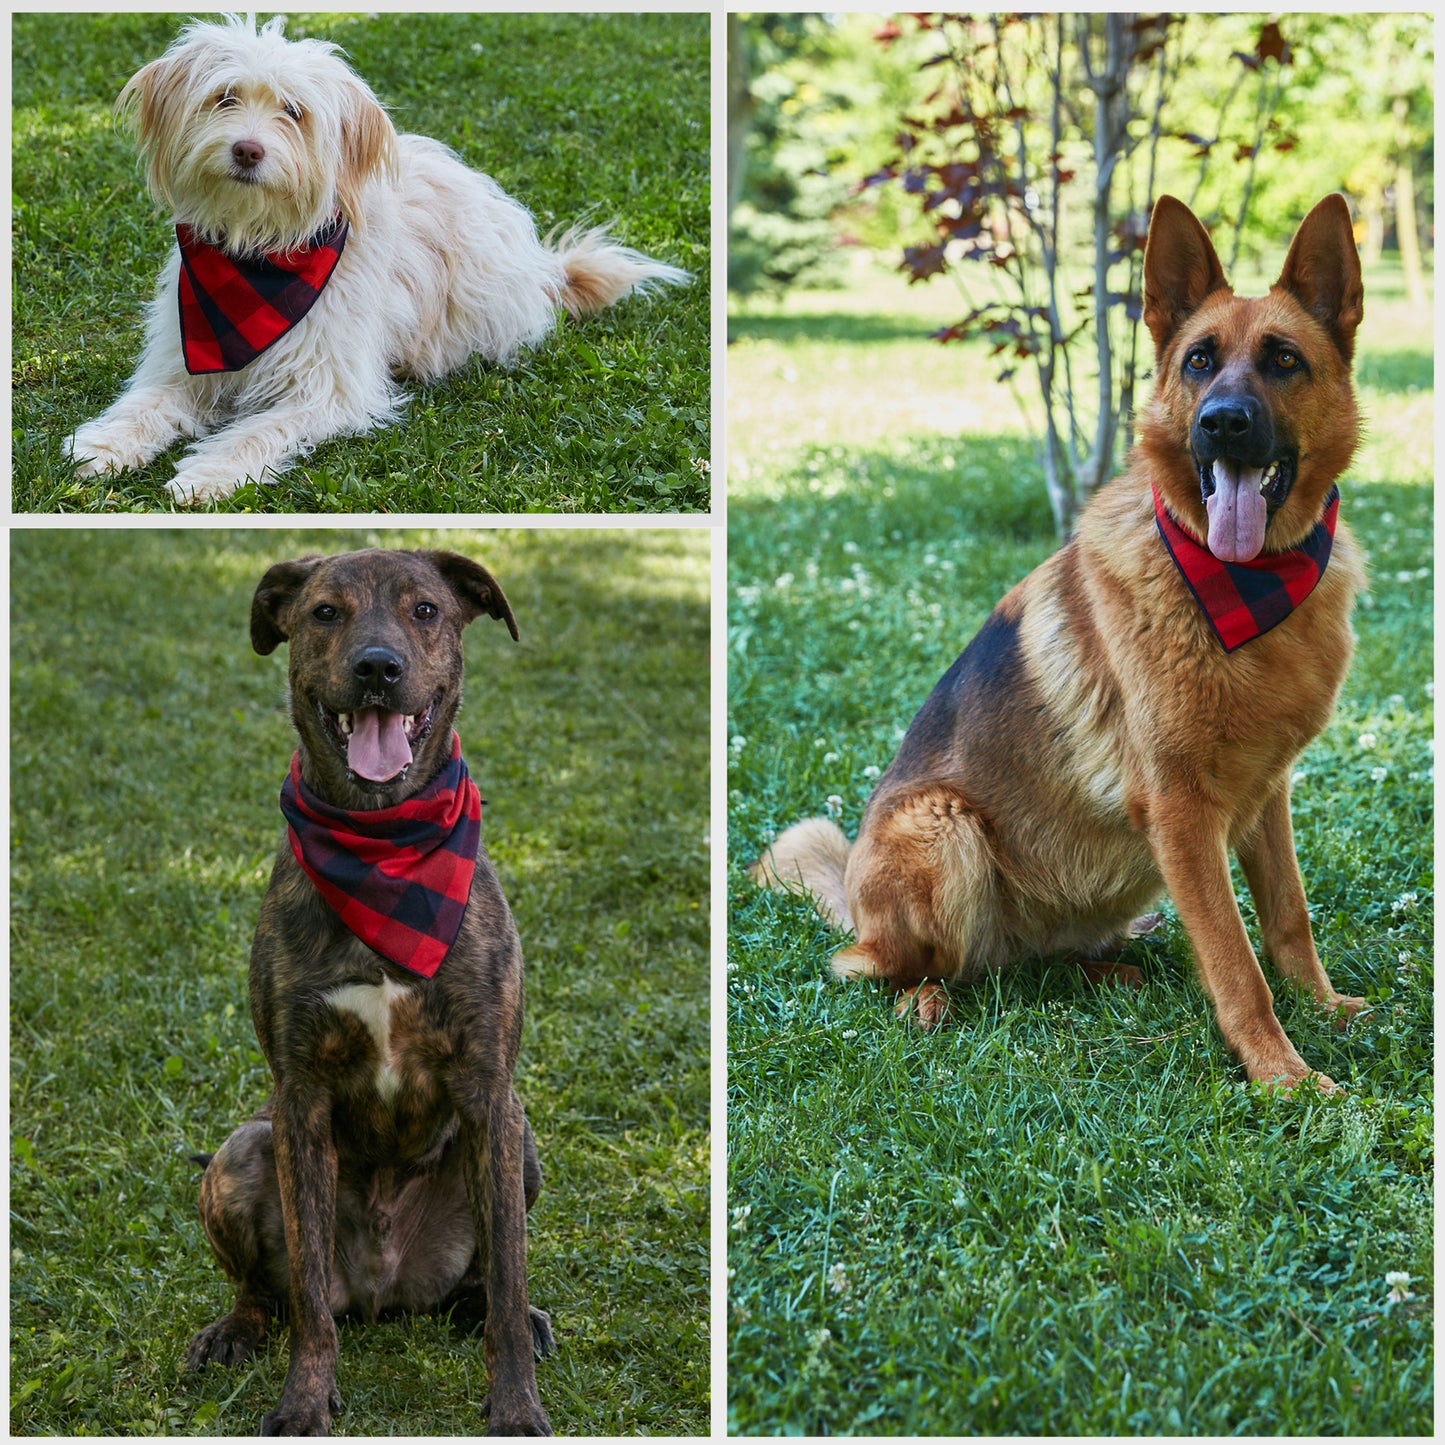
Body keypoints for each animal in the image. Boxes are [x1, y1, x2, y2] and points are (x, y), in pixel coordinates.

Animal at [70, 12, 690, 502]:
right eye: (225, 97)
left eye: (293, 112)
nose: (247, 150)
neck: (259, 259)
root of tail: (544, 271)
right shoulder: (184, 359)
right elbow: (147, 403)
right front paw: (104, 444)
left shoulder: (326, 387)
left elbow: (257, 432)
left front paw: (208, 474)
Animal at [184, 543, 551, 1433]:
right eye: (324, 612)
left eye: (426, 610)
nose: (378, 667)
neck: (384, 846)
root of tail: (387, 1291)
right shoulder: (300, 1095)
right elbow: (310, 1297)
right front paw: (304, 1399)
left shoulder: (489, 1088)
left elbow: (510, 1271)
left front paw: (514, 1403)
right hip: (244, 1152)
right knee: (270, 1290)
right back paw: (235, 1328)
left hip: (518, 1138)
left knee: (484, 1278)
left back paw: (498, 1310)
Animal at [762, 195, 1369, 1092]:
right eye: (1198, 361)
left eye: (1283, 360)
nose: (1222, 423)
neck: (1244, 585)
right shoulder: (1182, 810)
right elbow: (1234, 963)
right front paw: (1285, 1078)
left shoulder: (1265, 793)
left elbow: (1287, 919)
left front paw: (1323, 1009)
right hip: (941, 826)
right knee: (883, 967)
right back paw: (925, 1001)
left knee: (1028, 961)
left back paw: (1106, 971)